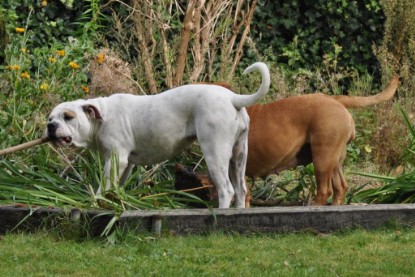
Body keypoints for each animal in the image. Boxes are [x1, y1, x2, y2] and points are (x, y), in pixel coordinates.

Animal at [47, 62, 272, 207]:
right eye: (50, 118)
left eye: (68, 117)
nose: (51, 126)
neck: (102, 116)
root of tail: (233, 98)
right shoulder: (126, 164)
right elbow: (117, 185)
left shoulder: (116, 160)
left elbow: (105, 184)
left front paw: (96, 201)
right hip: (238, 155)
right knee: (241, 190)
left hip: (215, 153)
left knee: (226, 189)